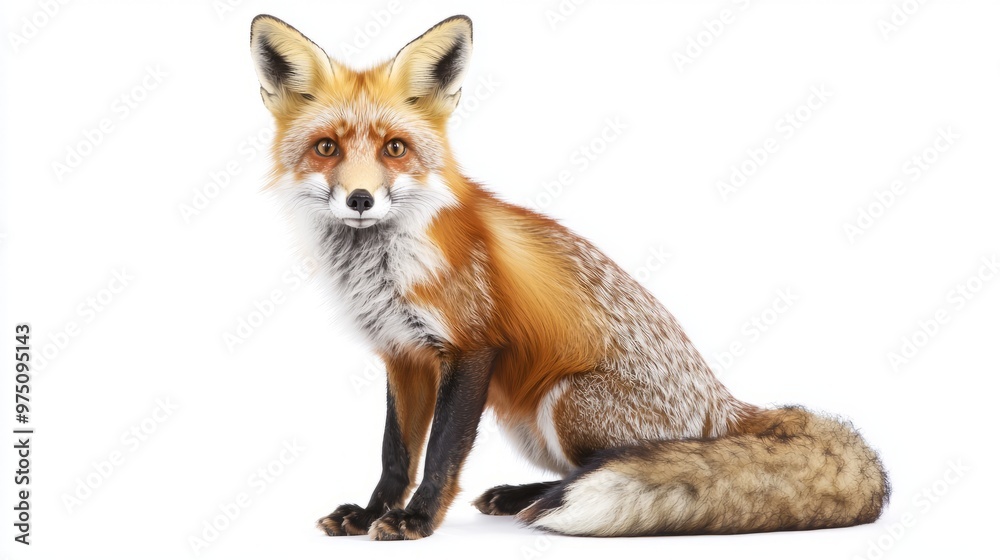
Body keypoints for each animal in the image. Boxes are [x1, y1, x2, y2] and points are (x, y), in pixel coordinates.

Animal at [249, 14, 889, 540]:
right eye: (326, 148)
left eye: (395, 148)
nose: (359, 200)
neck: (382, 266)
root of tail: (725, 407)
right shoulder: (403, 355)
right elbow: (395, 454)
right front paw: (369, 512)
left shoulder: (472, 347)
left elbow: (441, 455)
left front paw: (417, 520)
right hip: (524, 418)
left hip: (562, 401)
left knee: (606, 466)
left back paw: (541, 499)